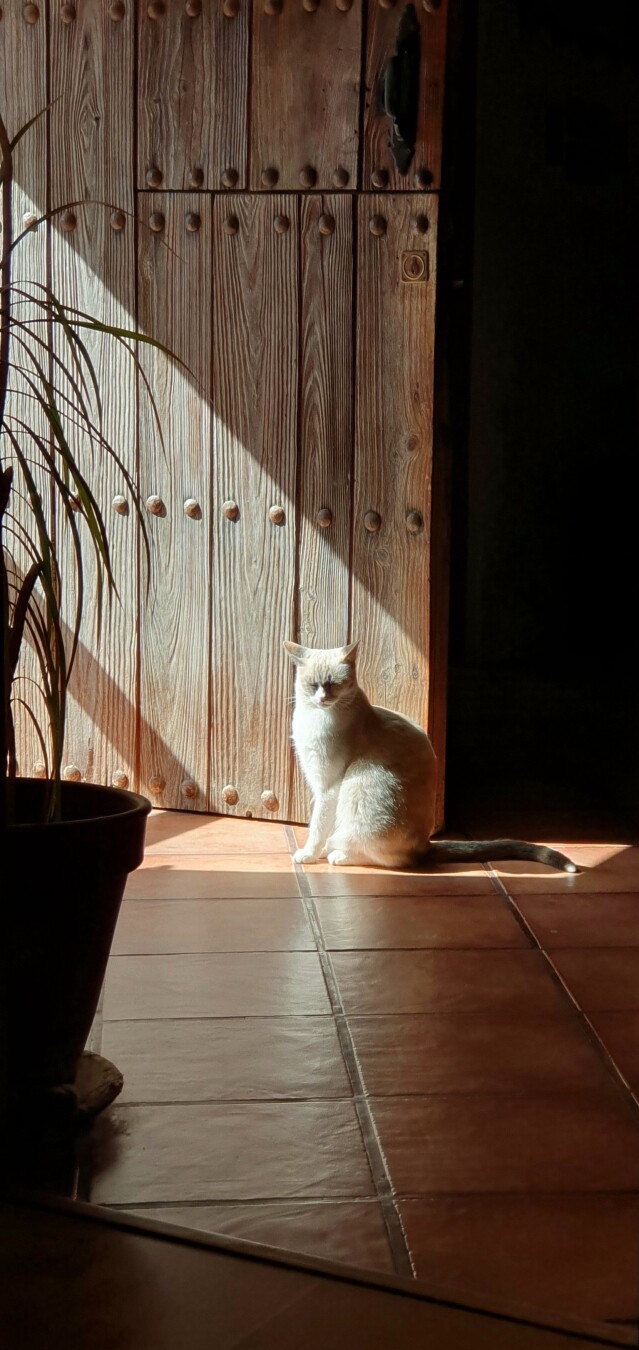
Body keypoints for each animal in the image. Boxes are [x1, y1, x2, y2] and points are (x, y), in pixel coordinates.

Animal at [283, 642, 578, 874]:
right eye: (313, 685)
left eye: (334, 684)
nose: (323, 698)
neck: (314, 718)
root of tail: (425, 845)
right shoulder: (315, 781)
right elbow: (319, 823)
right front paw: (314, 851)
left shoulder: (327, 786)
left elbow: (317, 825)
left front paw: (308, 854)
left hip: (356, 789)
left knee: (381, 857)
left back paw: (338, 855)